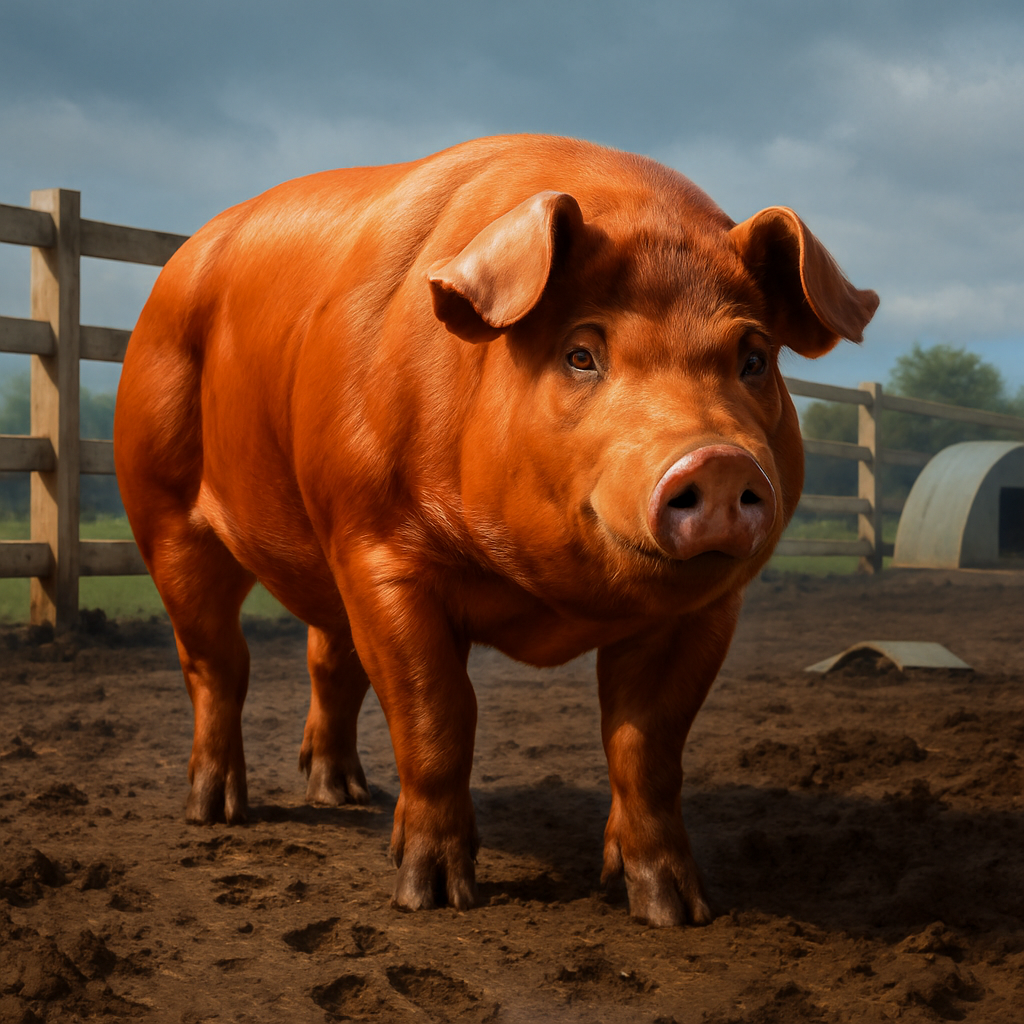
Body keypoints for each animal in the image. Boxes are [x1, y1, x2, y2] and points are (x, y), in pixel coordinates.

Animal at [114, 135, 877, 926]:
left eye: (753, 358)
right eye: (581, 354)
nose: (719, 460)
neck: (550, 603)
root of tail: (181, 261)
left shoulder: (705, 609)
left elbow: (648, 742)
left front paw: (672, 910)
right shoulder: (380, 548)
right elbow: (438, 714)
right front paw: (432, 898)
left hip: (324, 549)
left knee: (330, 660)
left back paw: (343, 795)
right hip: (165, 505)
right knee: (217, 660)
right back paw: (216, 812)